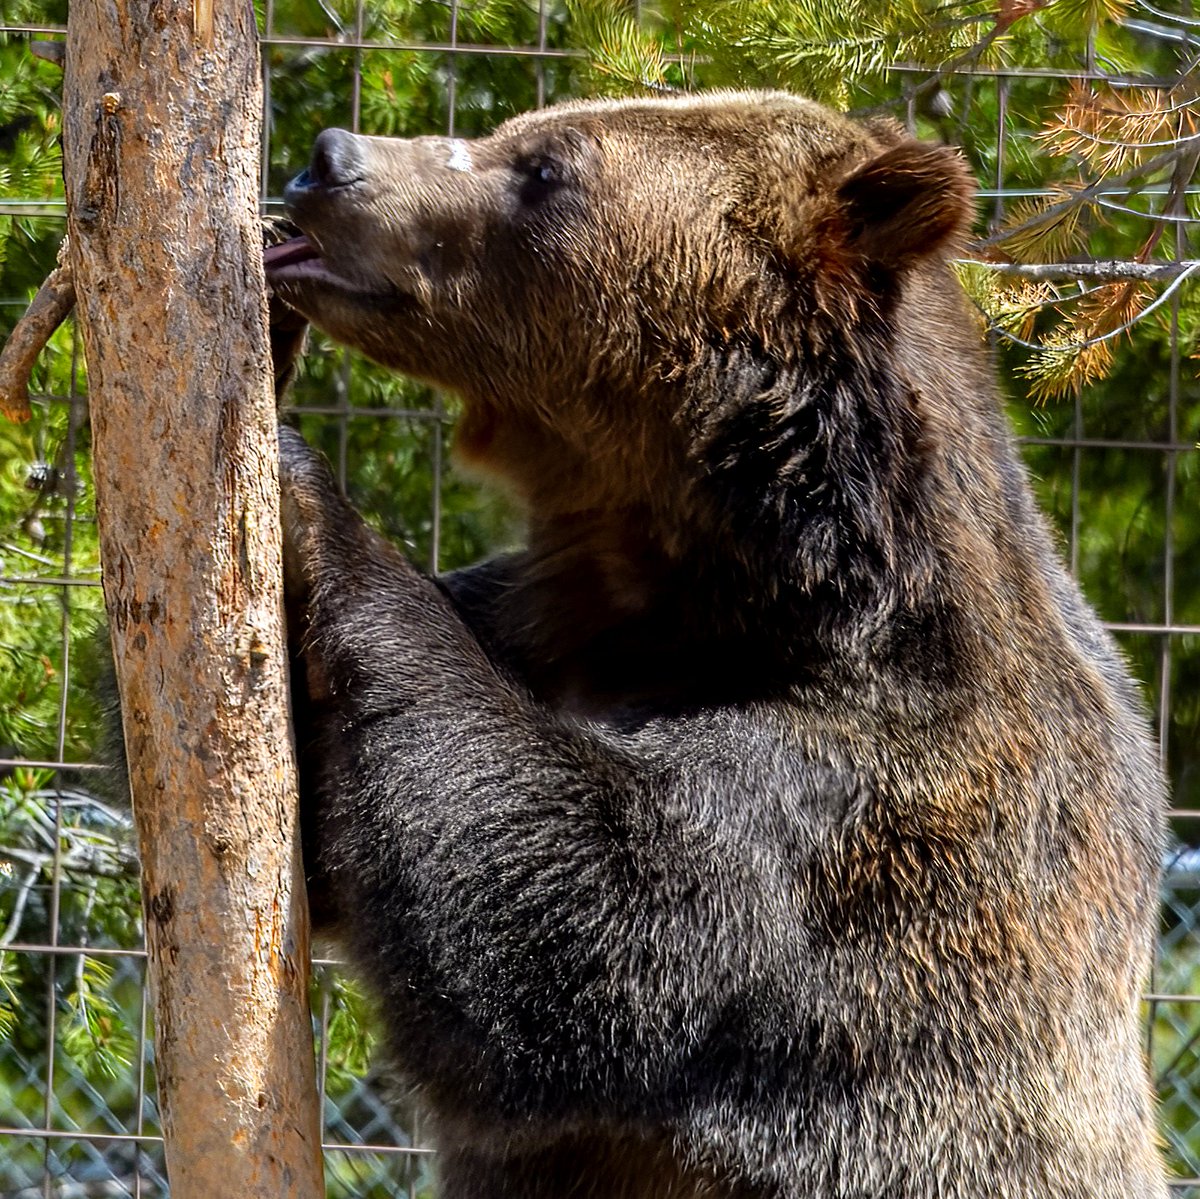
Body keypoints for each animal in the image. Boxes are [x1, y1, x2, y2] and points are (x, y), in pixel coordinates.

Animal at [264, 91, 1169, 1199]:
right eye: (520, 127)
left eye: (545, 168)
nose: (329, 159)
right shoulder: (542, 617)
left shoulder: (881, 815)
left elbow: (582, 909)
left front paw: (307, 484)